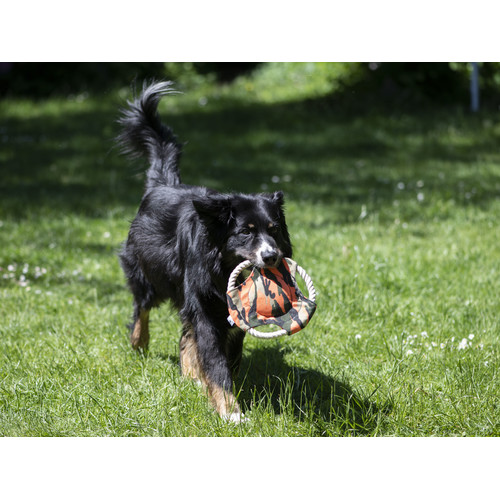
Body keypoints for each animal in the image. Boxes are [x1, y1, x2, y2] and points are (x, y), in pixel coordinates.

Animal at [116, 82, 292, 422]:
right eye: (246, 231)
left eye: (274, 229)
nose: (271, 256)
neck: (221, 267)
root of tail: (161, 184)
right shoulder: (204, 305)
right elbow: (214, 358)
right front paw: (230, 411)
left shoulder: (232, 316)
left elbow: (227, 355)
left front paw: (217, 392)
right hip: (148, 273)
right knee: (142, 306)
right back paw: (139, 342)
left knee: (185, 335)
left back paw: (190, 375)